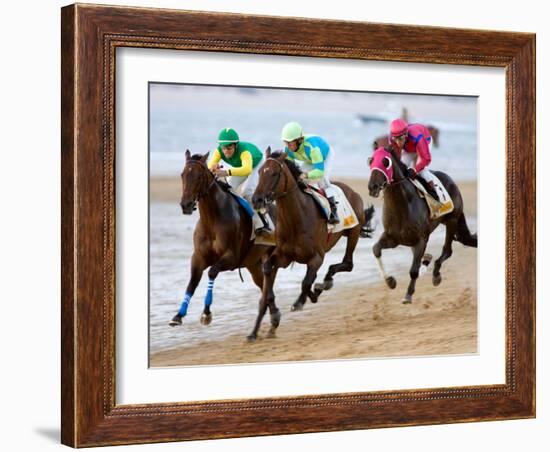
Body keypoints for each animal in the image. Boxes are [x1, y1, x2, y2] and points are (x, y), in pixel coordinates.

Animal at [169, 152, 280, 340]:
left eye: (198, 176)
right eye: (183, 174)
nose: (186, 205)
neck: (212, 221)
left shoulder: (231, 258)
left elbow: (212, 272)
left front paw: (206, 313)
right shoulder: (198, 258)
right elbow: (192, 283)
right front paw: (178, 315)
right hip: (253, 264)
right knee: (265, 287)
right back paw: (273, 320)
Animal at [252, 150, 378, 340]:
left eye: (274, 173)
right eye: (259, 172)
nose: (256, 200)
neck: (296, 219)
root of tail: (352, 190)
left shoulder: (316, 258)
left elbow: (305, 283)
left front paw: (301, 301)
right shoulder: (284, 257)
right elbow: (269, 268)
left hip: (353, 232)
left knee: (348, 263)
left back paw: (324, 283)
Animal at [370, 147, 478, 304]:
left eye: (386, 162)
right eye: (370, 160)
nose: (372, 187)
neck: (402, 205)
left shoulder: (421, 239)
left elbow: (413, 271)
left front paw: (408, 295)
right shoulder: (392, 238)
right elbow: (376, 249)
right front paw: (390, 281)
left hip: (452, 220)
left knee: (447, 250)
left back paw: (436, 274)